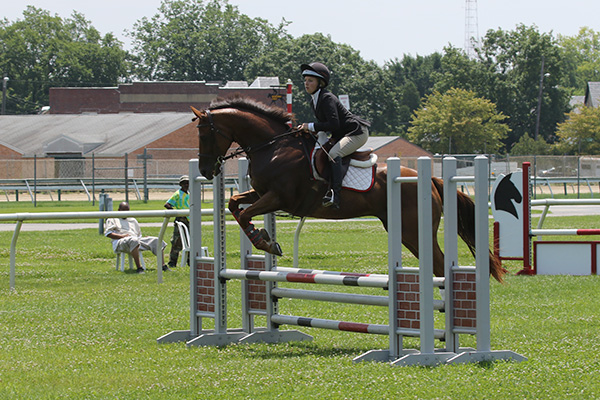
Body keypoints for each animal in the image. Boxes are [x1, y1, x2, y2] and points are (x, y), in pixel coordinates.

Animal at [190, 96, 504, 282]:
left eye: (205, 134)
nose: (206, 171)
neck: (273, 146)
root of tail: (432, 180)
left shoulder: (279, 197)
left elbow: (244, 214)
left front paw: (266, 242)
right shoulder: (262, 193)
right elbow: (234, 204)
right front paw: (265, 237)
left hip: (414, 229)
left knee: (439, 264)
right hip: (405, 232)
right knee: (434, 264)